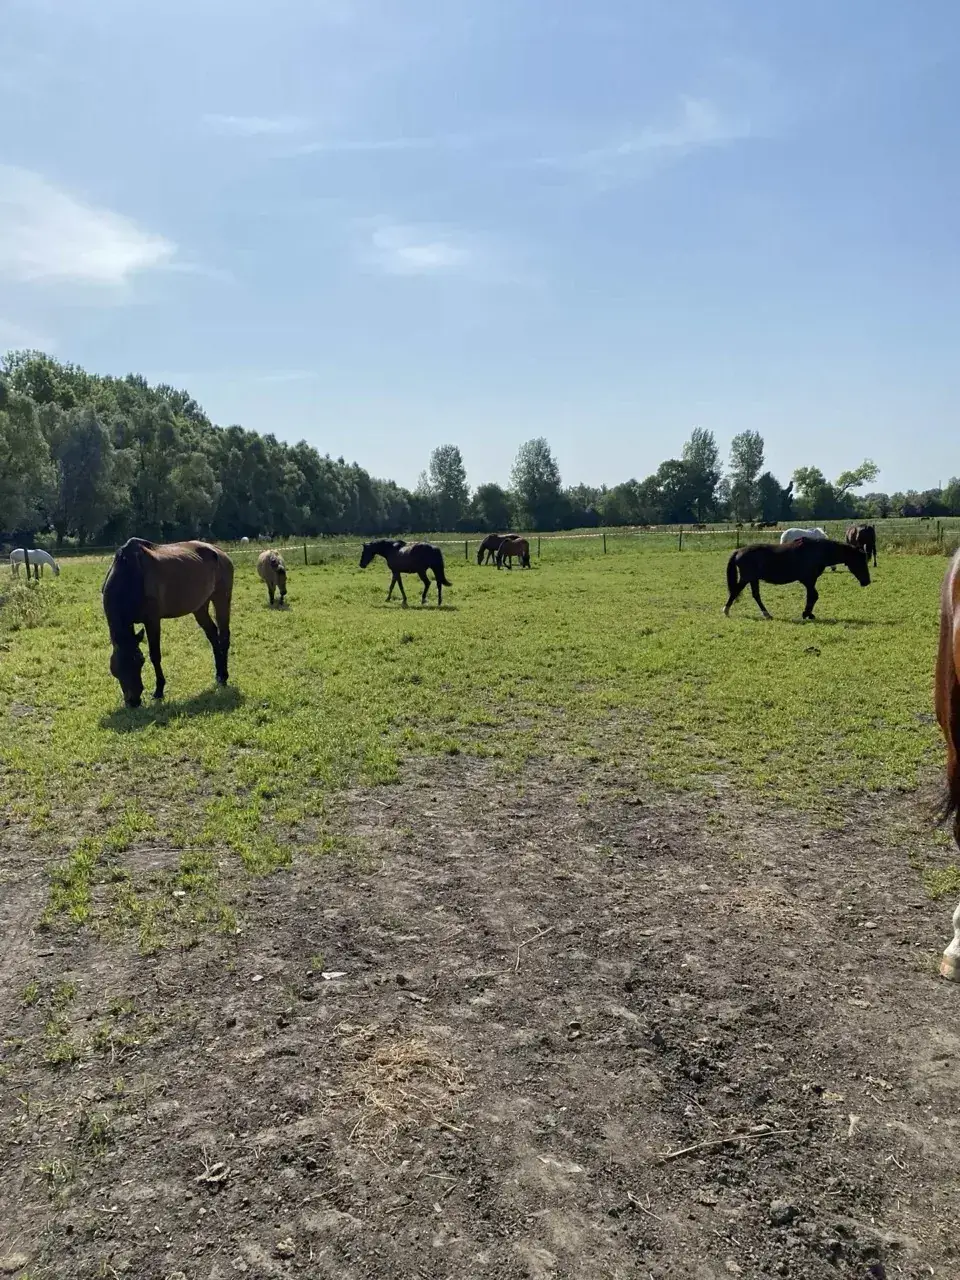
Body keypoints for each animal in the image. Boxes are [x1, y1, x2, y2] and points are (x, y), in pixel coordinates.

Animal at [102, 538, 234, 708]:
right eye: (115, 670)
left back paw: (224, 677)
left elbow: (155, 655)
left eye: (140, 661)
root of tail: (221, 553)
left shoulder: (152, 621)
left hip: (221, 599)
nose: (133, 701)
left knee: (223, 636)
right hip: (199, 607)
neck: (131, 574)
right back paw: (218, 675)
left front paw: (159, 691)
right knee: (212, 635)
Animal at [723, 538, 870, 620]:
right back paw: (726, 611)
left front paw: (808, 614)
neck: (818, 551)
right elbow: (814, 596)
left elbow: (812, 596)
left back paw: (767, 614)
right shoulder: (809, 580)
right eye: (861, 561)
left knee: (756, 595)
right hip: (746, 578)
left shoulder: (810, 581)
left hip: (753, 579)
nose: (867, 581)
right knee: (736, 592)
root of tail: (738, 551)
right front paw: (806, 614)